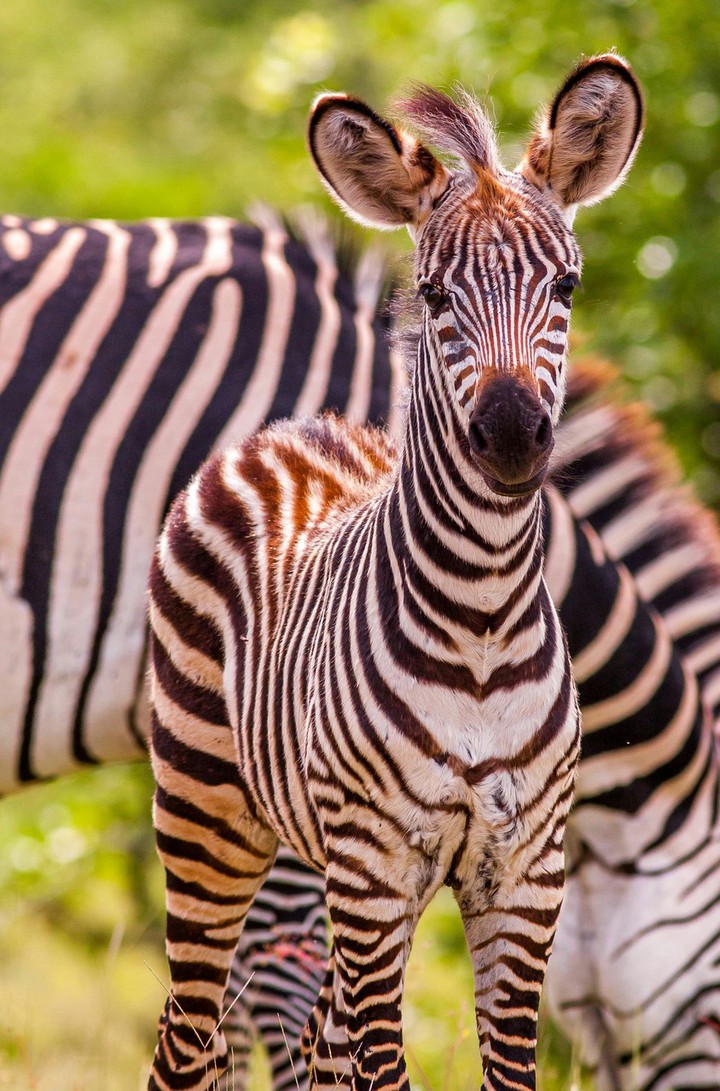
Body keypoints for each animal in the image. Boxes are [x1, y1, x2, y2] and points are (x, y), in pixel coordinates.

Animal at [147, 54, 642, 1091]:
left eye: (568, 286)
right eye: (436, 294)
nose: (511, 435)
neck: (484, 617)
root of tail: (297, 427)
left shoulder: (526, 876)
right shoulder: (376, 870)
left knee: (306, 1047)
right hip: (209, 815)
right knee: (189, 1035)